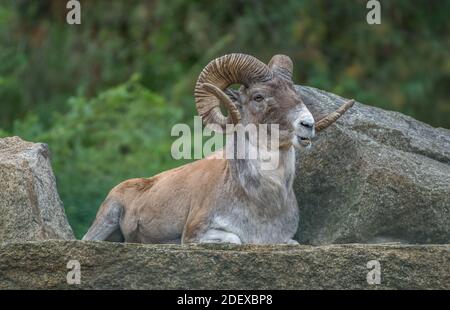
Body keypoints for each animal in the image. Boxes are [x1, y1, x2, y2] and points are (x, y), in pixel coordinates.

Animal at [82, 53, 354, 243]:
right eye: (258, 97)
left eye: (295, 93)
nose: (307, 125)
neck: (263, 201)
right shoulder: (198, 234)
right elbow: (236, 239)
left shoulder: (286, 240)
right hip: (106, 219)